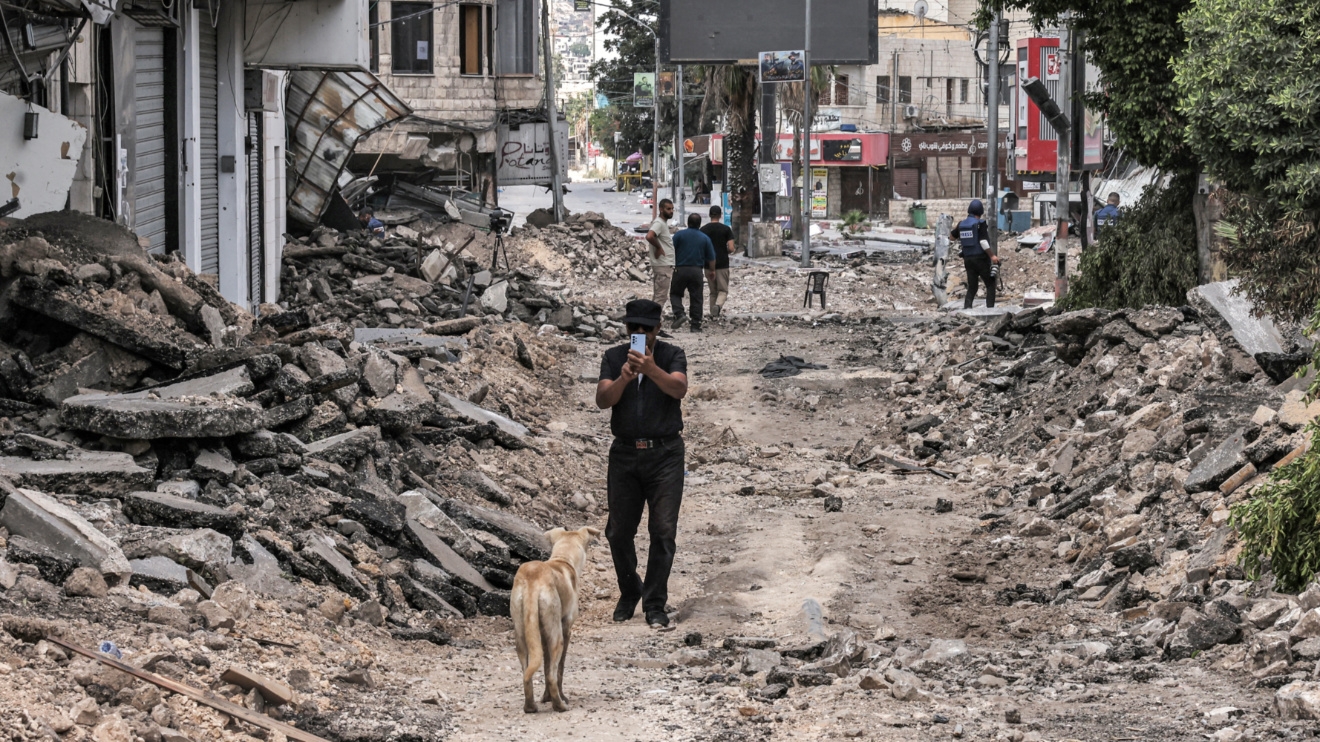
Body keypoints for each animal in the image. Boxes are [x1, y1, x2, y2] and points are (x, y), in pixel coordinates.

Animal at [512, 522, 601, 712]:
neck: (563, 558)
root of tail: (533, 578)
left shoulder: (542, 635)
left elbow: (546, 667)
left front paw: (546, 697)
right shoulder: (566, 628)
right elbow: (558, 669)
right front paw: (559, 697)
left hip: (521, 635)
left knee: (527, 675)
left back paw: (530, 706)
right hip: (557, 637)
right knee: (553, 675)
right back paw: (560, 705)